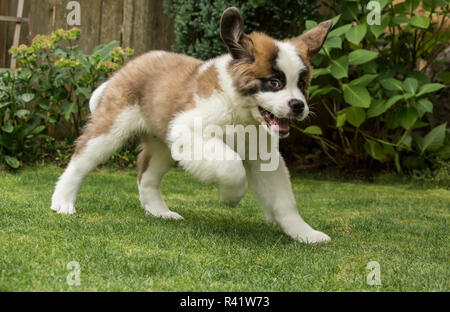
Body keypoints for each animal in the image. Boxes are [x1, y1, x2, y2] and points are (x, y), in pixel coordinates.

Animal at [51, 6, 334, 243]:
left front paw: (304, 233)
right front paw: (230, 196)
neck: (240, 109)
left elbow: (284, 201)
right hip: (112, 129)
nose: (298, 105)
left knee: (147, 176)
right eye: (274, 82)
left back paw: (160, 212)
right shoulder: (190, 131)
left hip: (164, 146)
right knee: (81, 161)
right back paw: (63, 201)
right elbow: (231, 165)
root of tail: (126, 68)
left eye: (302, 85)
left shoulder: (262, 157)